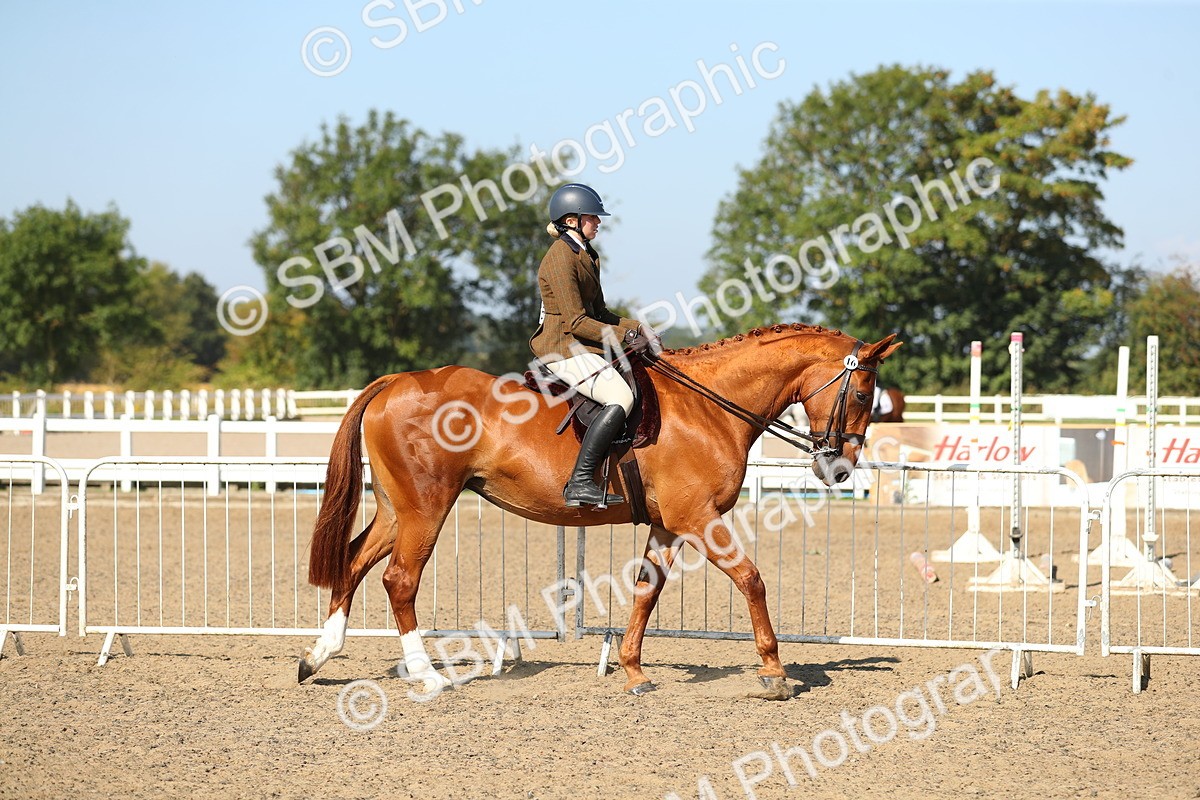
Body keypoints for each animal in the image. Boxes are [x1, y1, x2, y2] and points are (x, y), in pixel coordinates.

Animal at [299, 324, 901, 699]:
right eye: (863, 395)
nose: (840, 470)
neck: (708, 405)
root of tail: (394, 382)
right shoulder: (699, 519)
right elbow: (751, 579)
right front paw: (773, 671)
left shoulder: (668, 525)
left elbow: (646, 591)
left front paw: (632, 671)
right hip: (426, 508)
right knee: (399, 580)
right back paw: (428, 677)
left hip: (397, 510)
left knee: (354, 561)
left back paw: (318, 656)